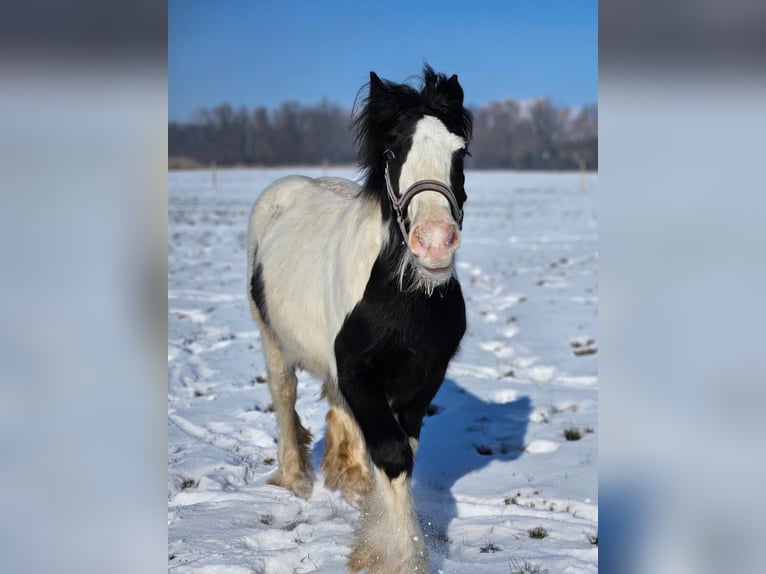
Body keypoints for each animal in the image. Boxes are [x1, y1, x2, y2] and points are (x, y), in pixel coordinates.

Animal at [249, 65, 472, 572]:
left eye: (461, 152)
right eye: (391, 153)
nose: (435, 243)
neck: (403, 293)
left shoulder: (423, 376)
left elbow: (401, 447)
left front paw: (372, 524)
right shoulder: (357, 368)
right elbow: (391, 451)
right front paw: (397, 554)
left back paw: (348, 479)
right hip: (272, 338)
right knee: (284, 394)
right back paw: (296, 478)